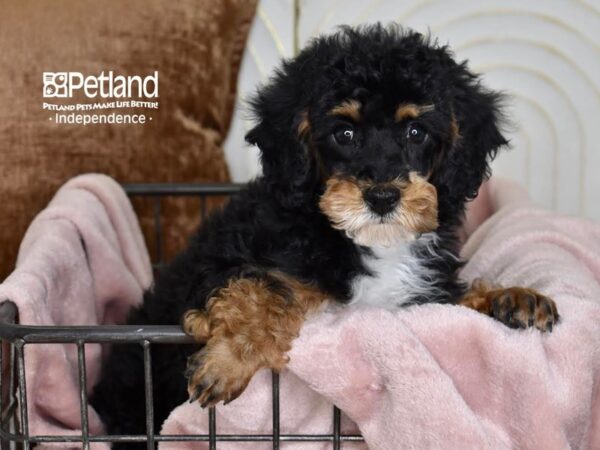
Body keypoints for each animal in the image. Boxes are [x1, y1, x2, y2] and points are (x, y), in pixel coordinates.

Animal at [89, 24, 556, 446]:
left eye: (416, 132)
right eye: (344, 133)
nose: (382, 196)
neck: (366, 242)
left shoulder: (417, 303)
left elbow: (451, 302)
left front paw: (511, 298)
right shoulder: (219, 263)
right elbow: (262, 289)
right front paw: (230, 359)